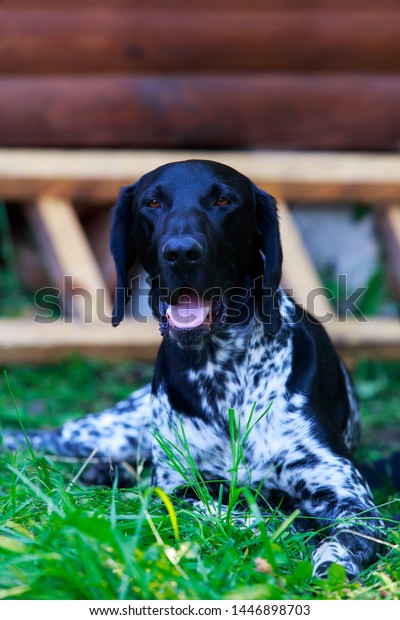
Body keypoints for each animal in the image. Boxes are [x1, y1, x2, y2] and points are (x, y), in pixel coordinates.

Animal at [3, 162, 384, 580]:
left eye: (224, 201)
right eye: (152, 202)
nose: (182, 252)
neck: (222, 377)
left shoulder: (352, 498)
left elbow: (342, 533)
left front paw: (331, 563)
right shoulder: (176, 486)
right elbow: (234, 511)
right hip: (105, 432)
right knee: (38, 439)